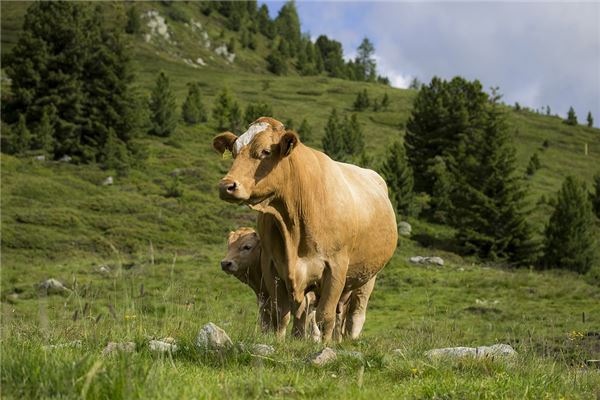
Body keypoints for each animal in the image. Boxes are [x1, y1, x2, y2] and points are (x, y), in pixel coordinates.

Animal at [213, 116, 396, 340]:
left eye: (266, 151)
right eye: (234, 151)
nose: (226, 186)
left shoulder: (335, 267)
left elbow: (324, 317)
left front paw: (323, 345)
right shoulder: (273, 267)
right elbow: (283, 316)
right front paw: (284, 342)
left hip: (368, 277)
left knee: (354, 316)